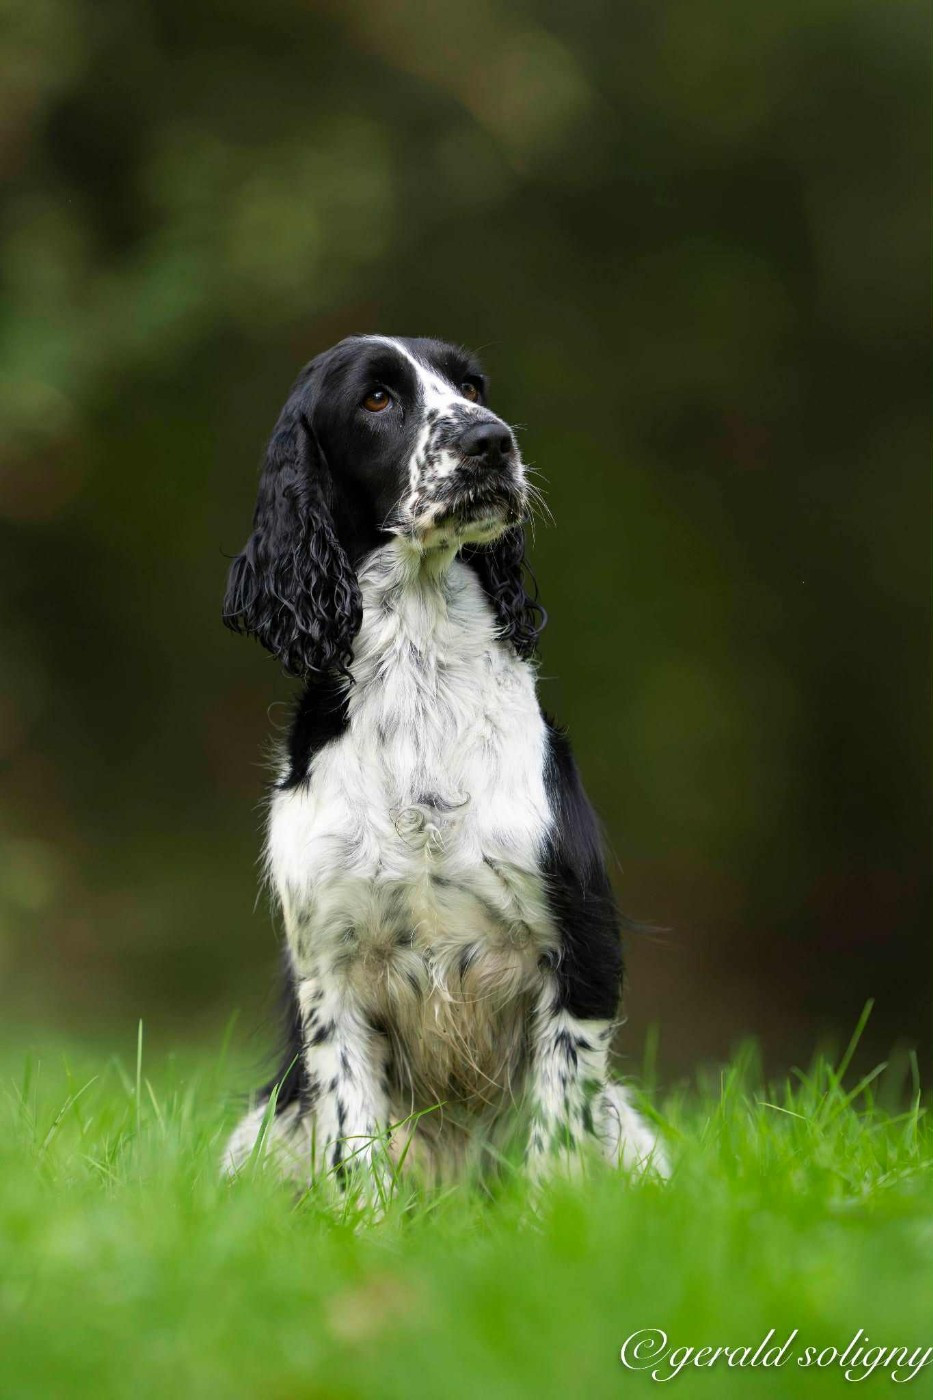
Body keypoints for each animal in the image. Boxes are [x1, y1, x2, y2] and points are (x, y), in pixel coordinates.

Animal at [221, 335, 665, 1191]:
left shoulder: (583, 950)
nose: (492, 440)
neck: (420, 675)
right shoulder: (329, 974)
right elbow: (354, 1139)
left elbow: (557, 1135)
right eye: (376, 399)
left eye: (471, 386)